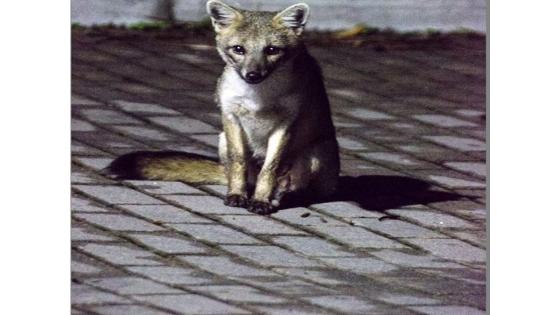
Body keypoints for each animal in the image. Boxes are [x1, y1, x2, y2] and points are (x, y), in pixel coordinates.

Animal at [107, 0, 340, 215]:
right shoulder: (230, 116)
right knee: (241, 176)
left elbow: (269, 169)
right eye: (239, 49)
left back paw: (283, 196)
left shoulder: (285, 124)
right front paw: (236, 194)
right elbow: (238, 162)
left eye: (272, 50)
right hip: (222, 140)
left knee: (300, 190)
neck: (259, 97)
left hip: (316, 153)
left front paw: (261, 200)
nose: (252, 75)